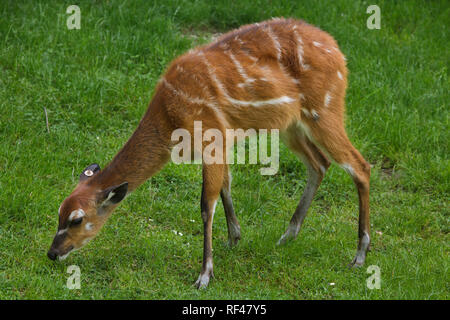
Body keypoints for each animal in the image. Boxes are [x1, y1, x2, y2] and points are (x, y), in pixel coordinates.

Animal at [48, 16, 372, 288]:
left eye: (76, 219)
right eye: (59, 211)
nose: (52, 253)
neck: (169, 118)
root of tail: (337, 50)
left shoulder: (211, 138)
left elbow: (207, 204)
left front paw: (204, 275)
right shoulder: (222, 143)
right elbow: (226, 186)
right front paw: (233, 240)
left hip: (324, 109)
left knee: (359, 165)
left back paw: (359, 256)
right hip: (291, 125)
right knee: (320, 163)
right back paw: (287, 236)